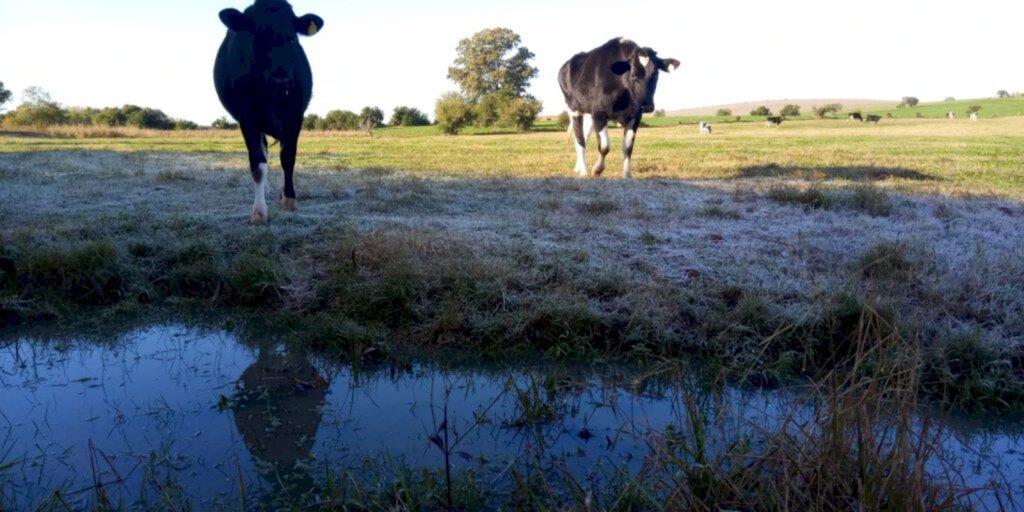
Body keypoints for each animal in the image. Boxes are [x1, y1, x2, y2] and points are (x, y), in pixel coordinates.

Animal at [215, 0, 323, 224]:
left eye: (292, 38)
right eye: (257, 37)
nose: (280, 80)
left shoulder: (295, 116)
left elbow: (288, 157)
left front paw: (289, 199)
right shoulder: (248, 119)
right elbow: (258, 165)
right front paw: (259, 212)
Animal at [557, 37, 675, 178]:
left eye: (656, 74)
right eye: (633, 75)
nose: (646, 105)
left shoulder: (635, 116)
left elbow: (628, 148)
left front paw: (627, 174)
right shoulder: (599, 113)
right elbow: (604, 146)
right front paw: (597, 170)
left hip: (588, 114)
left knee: (583, 137)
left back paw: (578, 168)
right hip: (573, 108)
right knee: (580, 139)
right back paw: (584, 171)